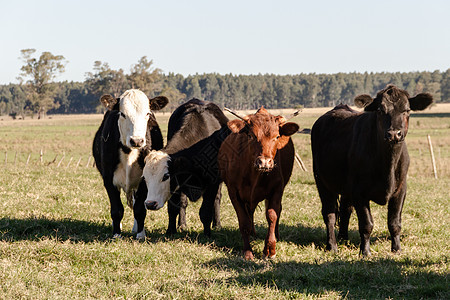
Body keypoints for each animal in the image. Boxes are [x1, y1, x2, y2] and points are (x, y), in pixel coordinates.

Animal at [92, 89, 168, 239]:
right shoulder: (108, 179)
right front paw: (116, 234)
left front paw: (140, 235)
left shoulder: (144, 180)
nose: (137, 141)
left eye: (148, 113)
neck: (129, 153)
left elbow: (139, 209)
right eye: (122, 114)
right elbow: (116, 210)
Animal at [218, 108, 298, 260]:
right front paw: (248, 251)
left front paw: (270, 249)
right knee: (250, 213)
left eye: (277, 136)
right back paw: (253, 234)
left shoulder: (277, 189)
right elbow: (244, 222)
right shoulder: (233, 192)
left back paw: (276, 235)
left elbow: (272, 215)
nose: (264, 162)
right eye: (251, 136)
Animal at [312, 84, 432, 255]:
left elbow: (395, 223)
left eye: (407, 110)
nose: (394, 134)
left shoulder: (400, 189)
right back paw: (332, 246)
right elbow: (366, 224)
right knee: (329, 214)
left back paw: (343, 239)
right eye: (380, 110)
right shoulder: (359, 192)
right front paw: (365, 251)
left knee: (345, 210)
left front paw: (397, 249)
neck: (387, 165)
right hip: (322, 181)